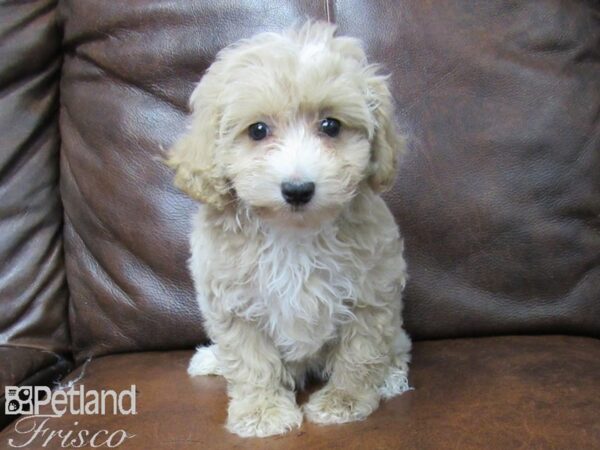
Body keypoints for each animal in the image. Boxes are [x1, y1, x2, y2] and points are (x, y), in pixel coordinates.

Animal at [169, 22, 412, 440]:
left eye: (330, 126)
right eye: (258, 130)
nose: (298, 189)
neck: (292, 234)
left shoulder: (372, 293)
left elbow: (360, 353)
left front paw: (344, 402)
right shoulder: (232, 305)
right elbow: (250, 362)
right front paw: (262, 412)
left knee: (397, 345)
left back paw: (391, 378)